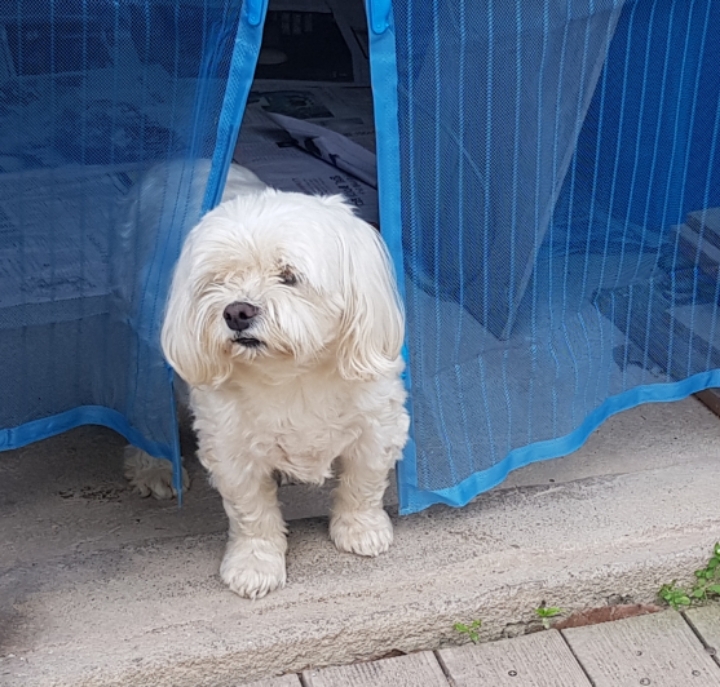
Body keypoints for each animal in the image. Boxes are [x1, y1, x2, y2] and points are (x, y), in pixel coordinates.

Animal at [124, 164, 409, 599]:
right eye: (218, 280)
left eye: (288, 276)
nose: (236, 311)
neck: (293, 373)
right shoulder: (230, 446)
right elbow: (252, 512)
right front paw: (255, 564)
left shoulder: (379, 421)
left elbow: (363, 481)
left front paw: (361, 528)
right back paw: (153, 465)